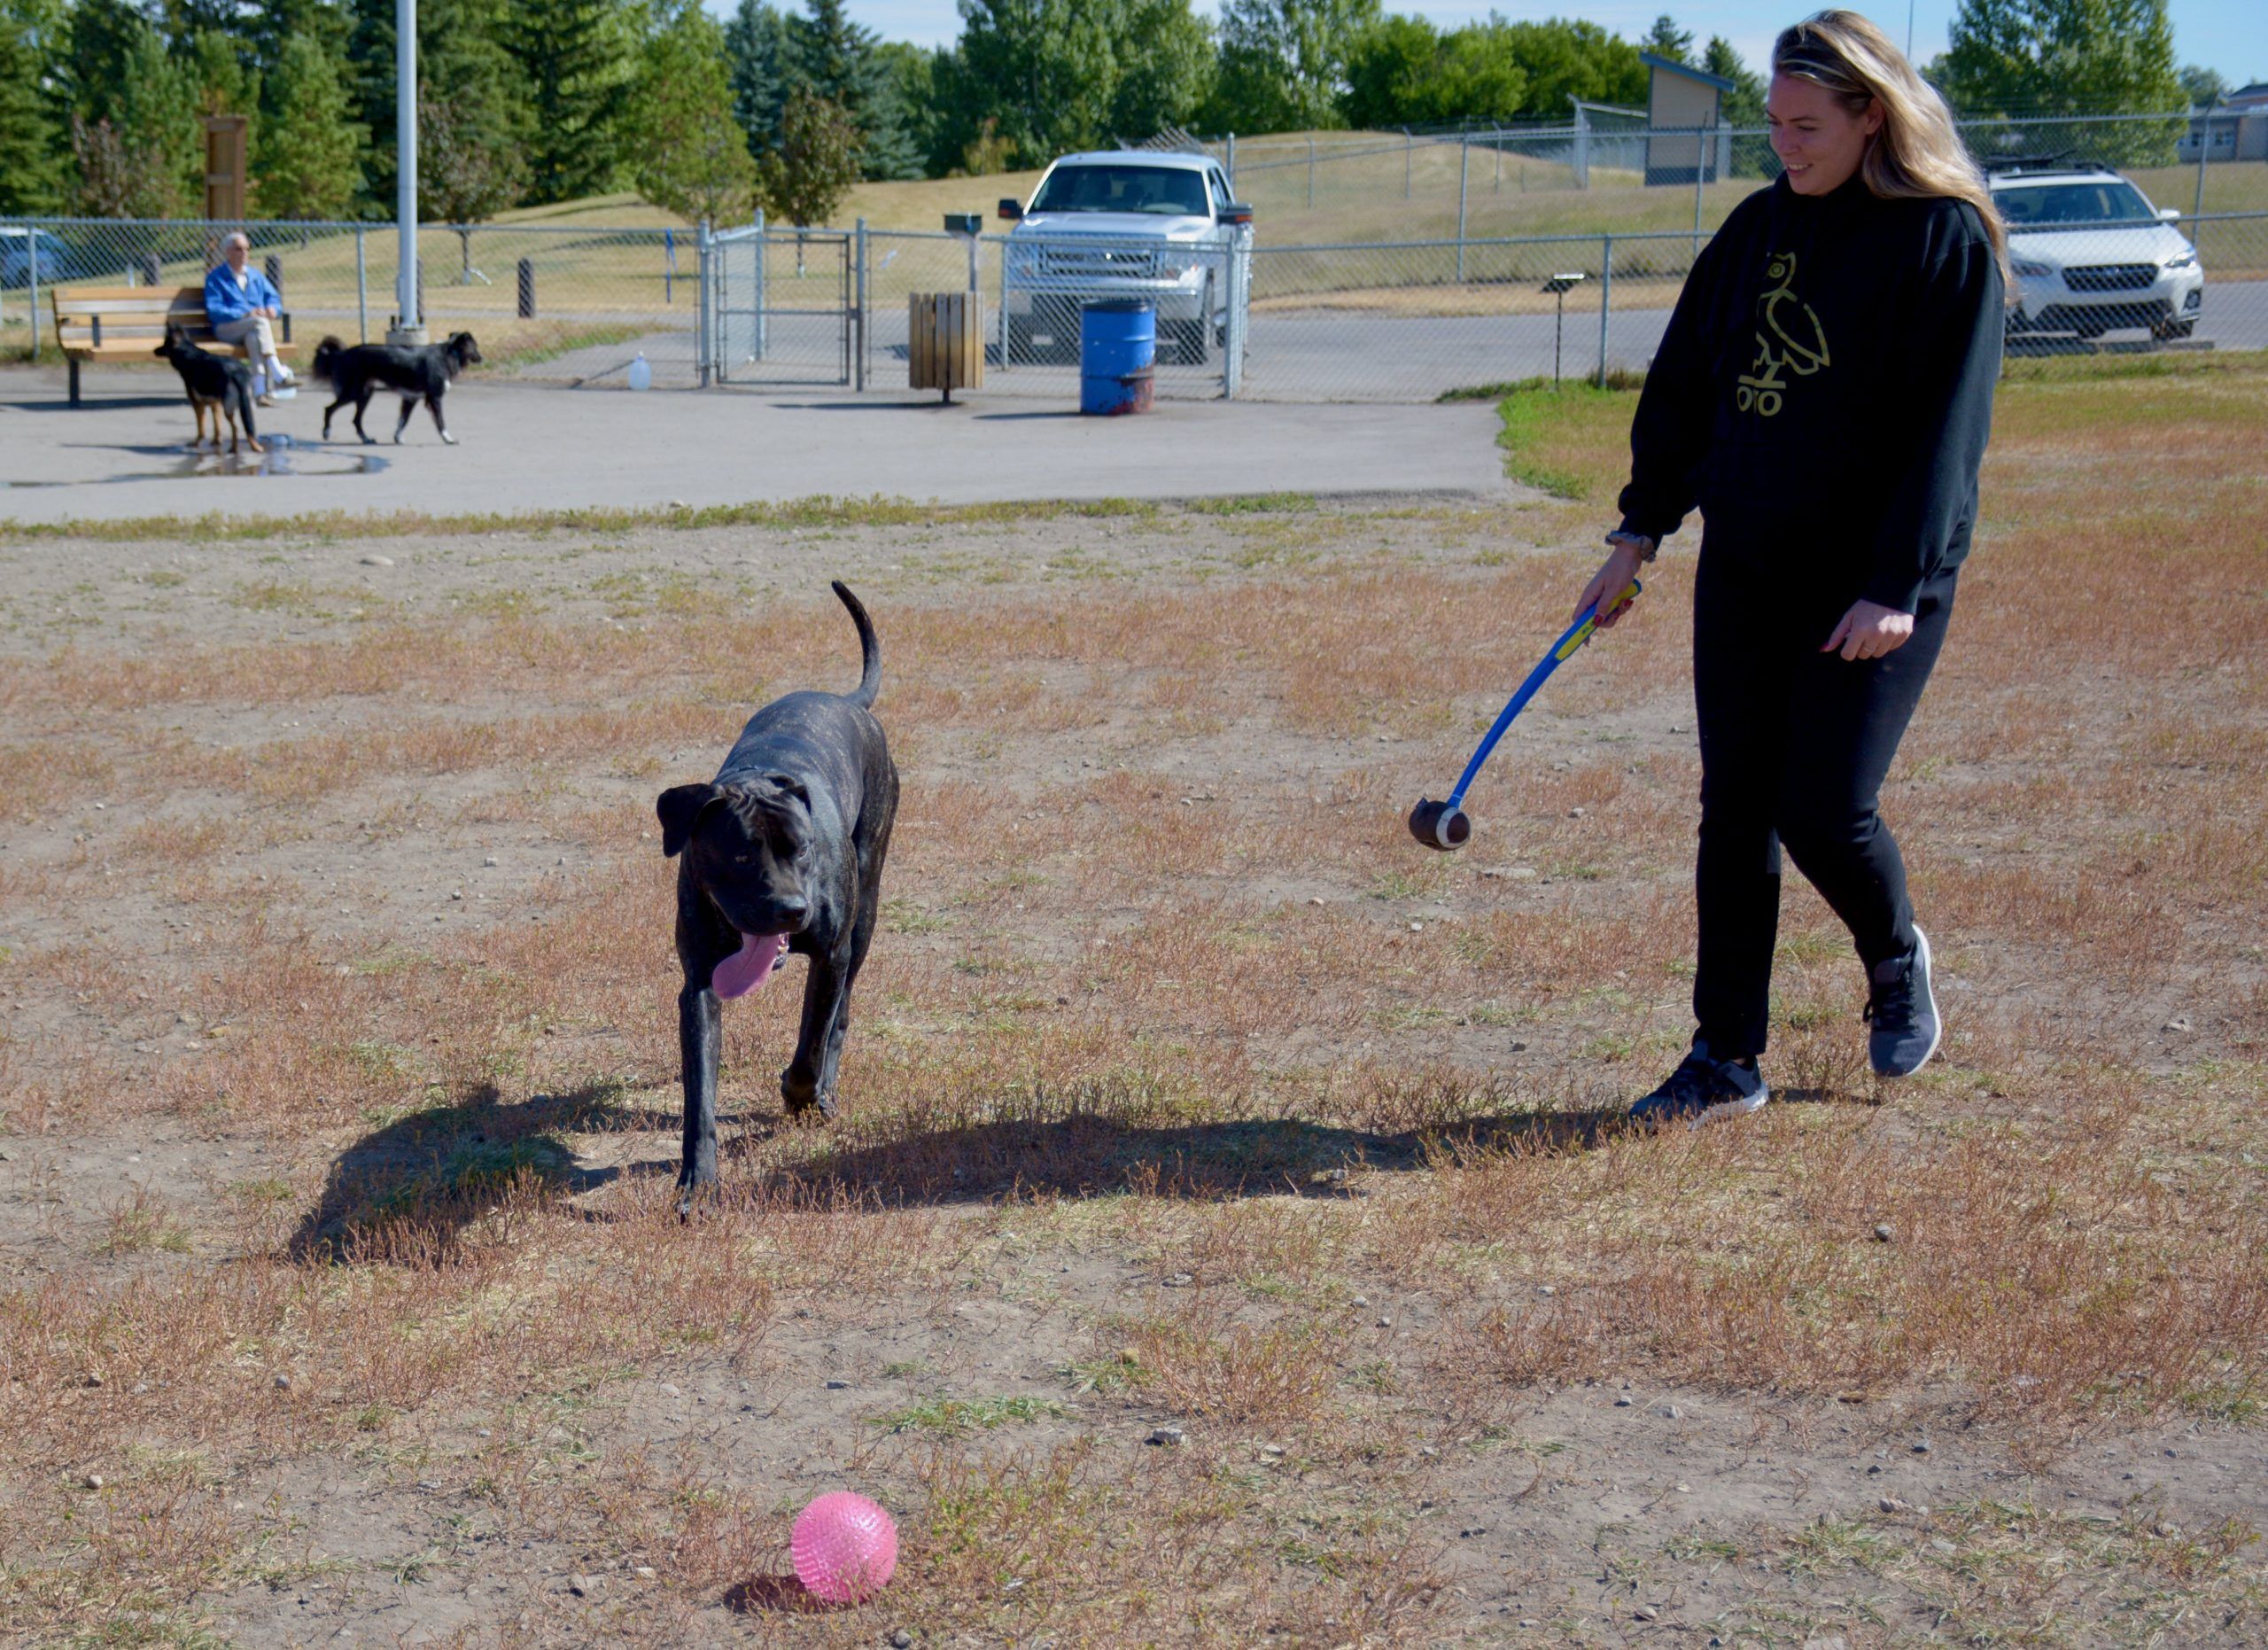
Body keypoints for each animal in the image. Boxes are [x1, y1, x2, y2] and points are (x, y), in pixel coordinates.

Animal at [152, 326, 260, 454]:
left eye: (164, 344)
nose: (154, 350)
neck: (187, 353)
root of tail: (237, 371)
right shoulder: (216, 404)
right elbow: (217, 425)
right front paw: (216, 442)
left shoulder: (198, 405)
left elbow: (201, 428)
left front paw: (196, 443)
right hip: (245, 405)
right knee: (246, 425)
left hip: (228, 408)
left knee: (235, 427)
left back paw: (233, 449)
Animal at [310, 331, 483, 444]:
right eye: (475, 346)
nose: (482, 358)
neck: (451, 354)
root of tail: (341, 354)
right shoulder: (435, 398)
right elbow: (441, 421)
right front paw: (448, 439)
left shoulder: (411, 398)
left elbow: (402, 421)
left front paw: (397, 438)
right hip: (354, 392)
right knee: (329, 409)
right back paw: (326, 432)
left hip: (365, 393)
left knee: (356, 420)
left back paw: (366, 439)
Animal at [653, 585, 897, 1207]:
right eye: (740, 856)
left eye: (803, 848)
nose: (793, 910)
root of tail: (847, 701)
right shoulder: (699, 985)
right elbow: (700, 1094)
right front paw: (698, 1181)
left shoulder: (831, 956)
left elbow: (812, 1043)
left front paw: (800, 1093)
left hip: (865, 913)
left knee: (841, 1013)